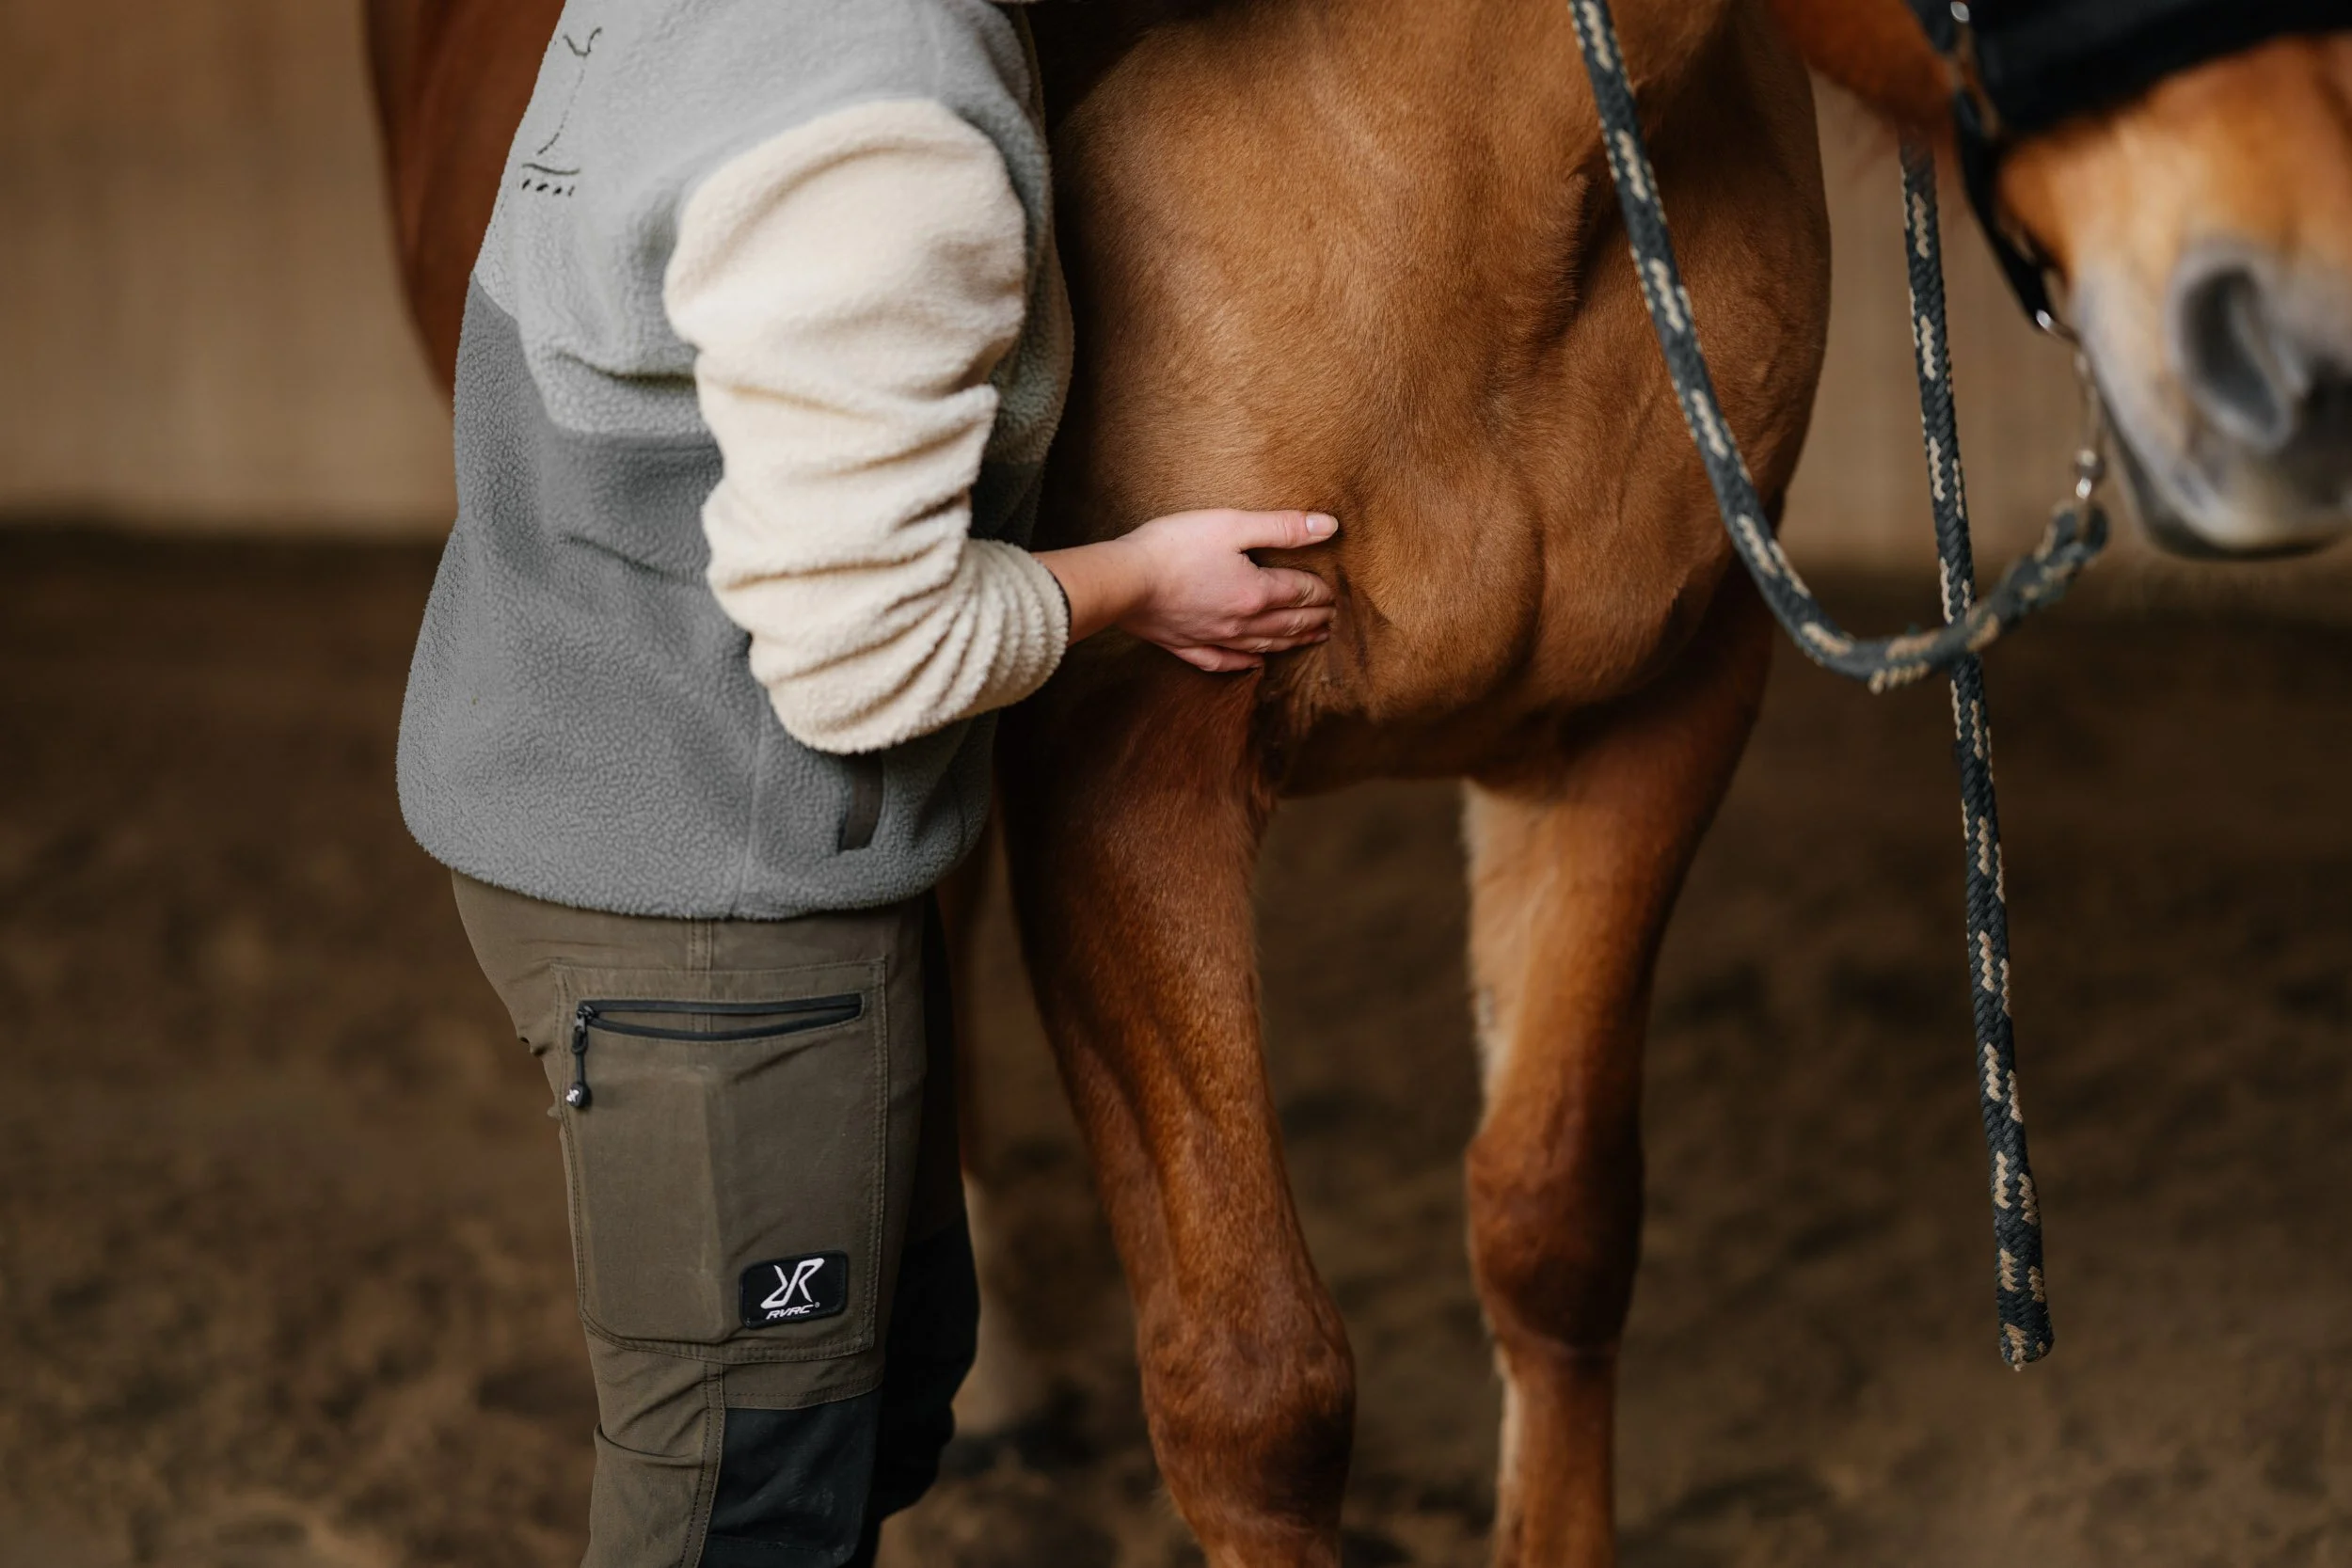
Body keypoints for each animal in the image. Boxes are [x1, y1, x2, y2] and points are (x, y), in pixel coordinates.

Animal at [364, 3, 2352, 1562]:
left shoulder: (1647, 733)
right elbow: (1255, 1382)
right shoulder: (1126, 797)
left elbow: (1556, 1229)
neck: (1463, 171)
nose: (2305, 353)